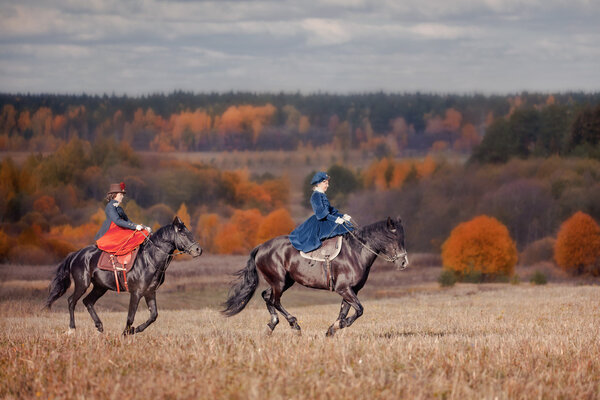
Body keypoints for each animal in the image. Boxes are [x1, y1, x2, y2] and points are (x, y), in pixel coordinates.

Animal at [45, 216, 204, 334]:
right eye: (182, 233)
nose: (198, 250)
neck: (150, 259)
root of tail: (76, 254)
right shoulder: (136, 293)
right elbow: (130, 317)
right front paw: (126, 333)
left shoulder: (150, 292)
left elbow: (153, 316)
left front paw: (134, 330)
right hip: (82, 284)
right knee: (72, 301)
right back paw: (72, 328)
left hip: (100, 287)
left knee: (88, 301)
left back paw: (99, 326)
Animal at [223, 217, 410, 336]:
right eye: (392, 237)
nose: (403, 263)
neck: (356, 252)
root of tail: (261, 247)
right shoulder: (344, 289)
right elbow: (359, 310)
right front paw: (338, 326)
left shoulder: (350, 290)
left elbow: (345, 311)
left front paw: (332, 329)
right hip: (279, 281)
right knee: (274, 300)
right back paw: (294, 324)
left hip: (284, 282)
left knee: (266, 296)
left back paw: (272, 324)